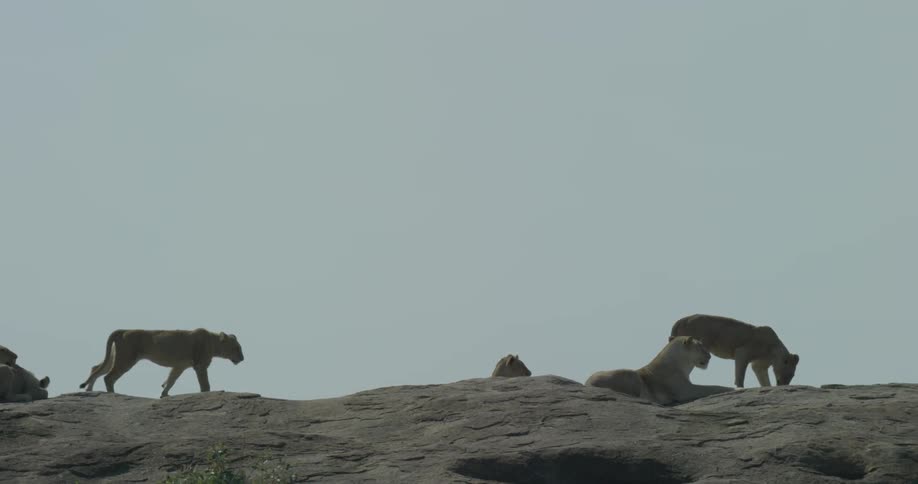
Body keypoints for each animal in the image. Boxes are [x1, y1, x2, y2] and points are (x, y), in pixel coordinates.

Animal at [79, 329, 244, 398]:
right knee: (108, 377)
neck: (213, 341)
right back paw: (112, 394)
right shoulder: (200, 365)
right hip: (126, 358)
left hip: (115, 356)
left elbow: (171, 379)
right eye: (236, 348)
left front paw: (164, 394)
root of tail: (123, 330)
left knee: (96, 368)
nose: (242, 358)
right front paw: (207, 393)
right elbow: (205, 384)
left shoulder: (180, 366)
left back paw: (88, 390)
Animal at [585, 336, 734, 405]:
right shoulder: (685, 390)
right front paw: (732, 388)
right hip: (630, 374)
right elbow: (712, 387)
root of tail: (587, 383)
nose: (709, 356)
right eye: (700, 346)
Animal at [670, 314, 799, 388]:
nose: (783, 385)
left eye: (792, 375)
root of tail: (680, 321)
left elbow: (763, 378)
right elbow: (740, 374)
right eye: (788, 374)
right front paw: (740, 387)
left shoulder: (760, 364)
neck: (773, 351)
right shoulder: (742, 352)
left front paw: (767, 387)